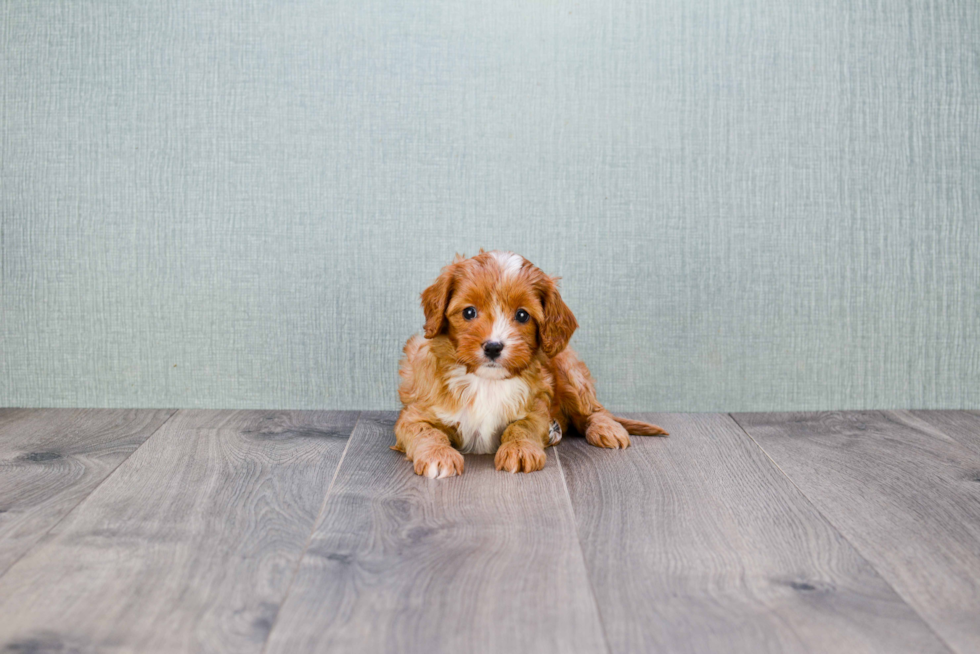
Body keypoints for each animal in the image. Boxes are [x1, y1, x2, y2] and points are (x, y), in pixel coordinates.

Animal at [390, 249, 668, 480]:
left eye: (522, 315)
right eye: (469, 312)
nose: (493, 347)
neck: (486, 381)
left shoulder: (536, 408)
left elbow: (521, 426)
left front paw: (520, 450)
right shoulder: (415, 414)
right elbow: (427, 431)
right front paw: (438, 455)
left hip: (568, 369)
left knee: (595, 410)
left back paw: (607, 429)